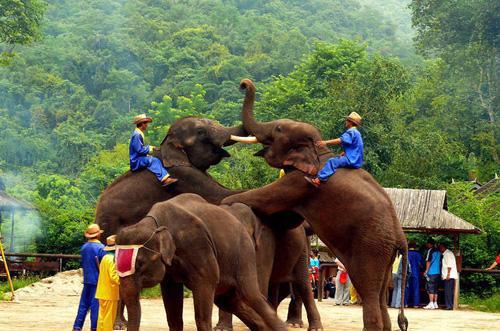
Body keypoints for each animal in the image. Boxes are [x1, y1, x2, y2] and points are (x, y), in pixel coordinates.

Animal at [114, 195, 286, 331]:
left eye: (140, 264)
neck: (153, 223)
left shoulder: (197, 244)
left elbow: (205, 287)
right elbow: (171, 302)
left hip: (244, 254)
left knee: (251, 295)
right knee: (231, 302)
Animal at [221, 80, 408, 331]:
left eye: (278, 129)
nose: (244, 84)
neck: (319, 152)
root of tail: (401, 236)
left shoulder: (301, 183)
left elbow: (266, 200)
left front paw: (224, 203)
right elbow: (285, 219)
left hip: (371, 246)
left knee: (366, 288)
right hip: (385, 253)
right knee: (379, 295)